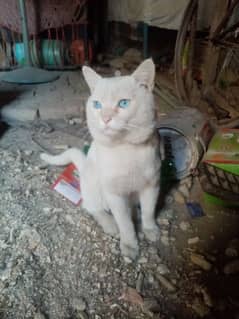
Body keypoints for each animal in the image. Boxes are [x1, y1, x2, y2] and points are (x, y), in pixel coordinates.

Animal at [40, 58, 161, 262]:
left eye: (123, 103)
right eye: (97, 105)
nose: (105, 118)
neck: (125, 150)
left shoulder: (152, 186)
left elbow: (149, 211)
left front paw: (150, 229)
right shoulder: (114, 194)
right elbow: (125, 223)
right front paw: (130, 245)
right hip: (93, 187)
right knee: (93, 207)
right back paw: (110, 223)